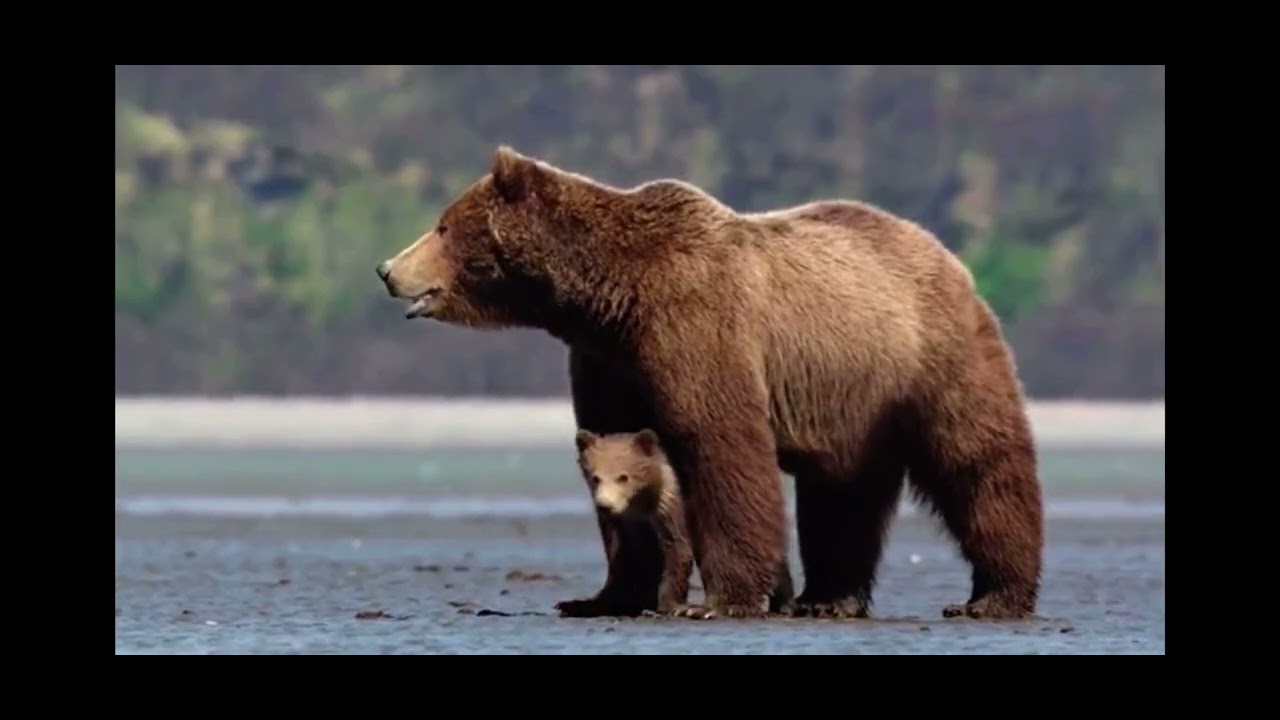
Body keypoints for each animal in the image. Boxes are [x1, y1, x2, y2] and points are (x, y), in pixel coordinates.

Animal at [558, 428, 795, 620]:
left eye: (623, 477)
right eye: (595, 477)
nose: (604, 505)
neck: (644, 501)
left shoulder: (670, 509)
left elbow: (677, 550)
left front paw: (669, 605)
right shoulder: (634, 524)